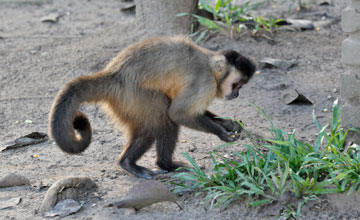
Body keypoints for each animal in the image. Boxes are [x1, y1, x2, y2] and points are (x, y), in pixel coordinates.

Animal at [49, 36, 256, 180]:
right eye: (237, 84)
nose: (237, 94)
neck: (211, 68)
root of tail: (114, 74)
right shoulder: (205, 82)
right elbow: (177, 113)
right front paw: (221, 133)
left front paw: (229, 124)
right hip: (134, 94)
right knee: (164, 118)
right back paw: (162, 164)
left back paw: (131, 163)